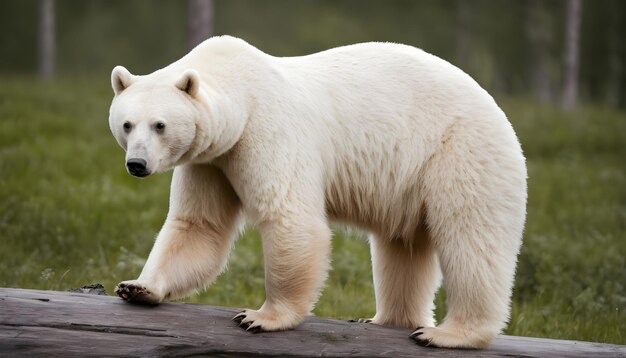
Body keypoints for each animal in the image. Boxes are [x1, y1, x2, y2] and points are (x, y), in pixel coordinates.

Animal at [109, 36, 524, 350]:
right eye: (127, 124)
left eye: (160, 125)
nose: (137, 164)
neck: (243, 90)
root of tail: (497, 110)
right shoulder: (212, 161)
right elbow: (198, 225)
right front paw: (138, 287)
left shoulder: (267, 131)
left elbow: (289, 218)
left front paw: (260, 317)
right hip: (409, 182)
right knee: (401, 246)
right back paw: (385, 319)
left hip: (459, 152)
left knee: (471, 241)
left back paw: (448, 334)